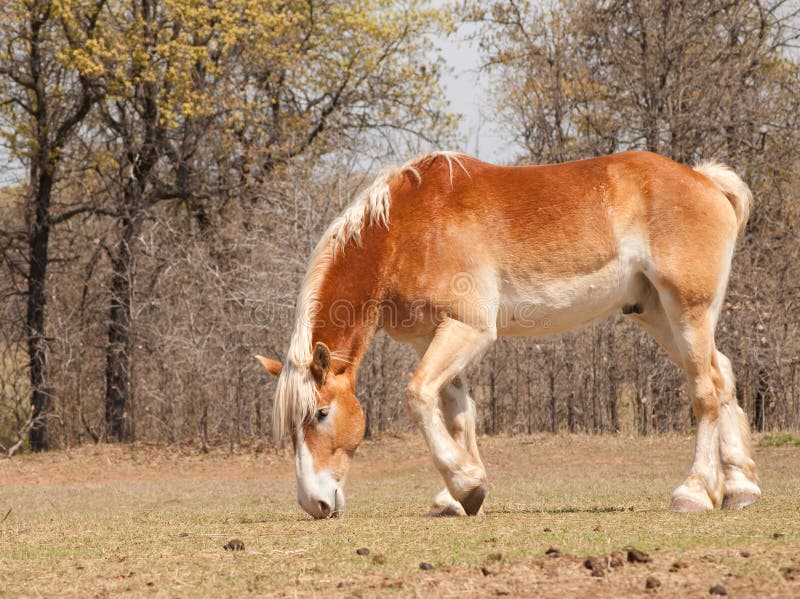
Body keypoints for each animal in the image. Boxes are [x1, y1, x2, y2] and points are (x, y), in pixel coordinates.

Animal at [256, 150, 760, 519]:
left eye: (321, 414)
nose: (314, 503)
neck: (405, 229)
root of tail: (704, 180)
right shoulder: (433, 338)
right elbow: (458, 414)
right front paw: (461, 494)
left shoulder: (468, 329)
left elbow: (417, 396)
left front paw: (465, 484)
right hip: (657, 315)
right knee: (722, 376)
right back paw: (739, 488)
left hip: (688, 311)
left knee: (705, 392)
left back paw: (694, 493)